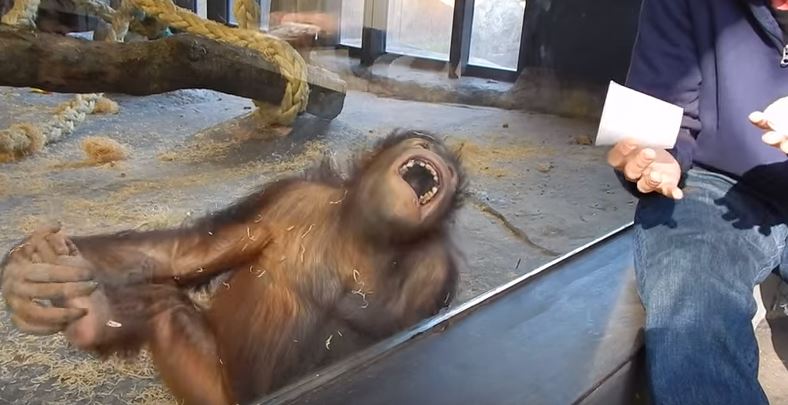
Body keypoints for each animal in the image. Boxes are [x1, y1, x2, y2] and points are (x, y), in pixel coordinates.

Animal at [2, 129, 467, 405]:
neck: (365, 232)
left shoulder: (434, 269)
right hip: (212, 390)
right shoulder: (286, 199)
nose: (434, 154)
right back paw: (92, 315)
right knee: (162, 307)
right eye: (422, 142)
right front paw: (23, 274)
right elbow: (188, 253)